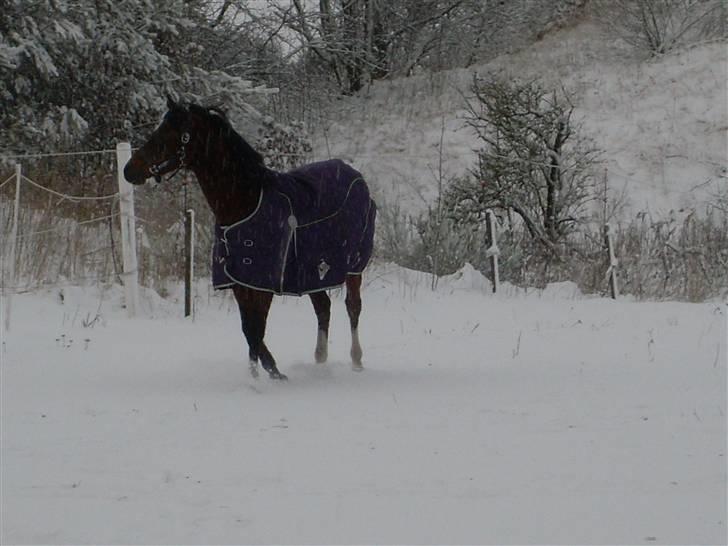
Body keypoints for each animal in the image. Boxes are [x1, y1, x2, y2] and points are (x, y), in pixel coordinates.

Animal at [123, 96, 376, 378]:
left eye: (172, 134)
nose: (129, 170)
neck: (244, 203)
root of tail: (355, 175)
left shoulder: (262, 282)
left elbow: (256, 329)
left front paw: (266, 377)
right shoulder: (239, 280)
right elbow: (249, 329)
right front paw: (264, 373)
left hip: (354, 266)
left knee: (353, 307)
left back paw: (356, 361)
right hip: (313, 273)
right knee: (323, 307)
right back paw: (320, 361)